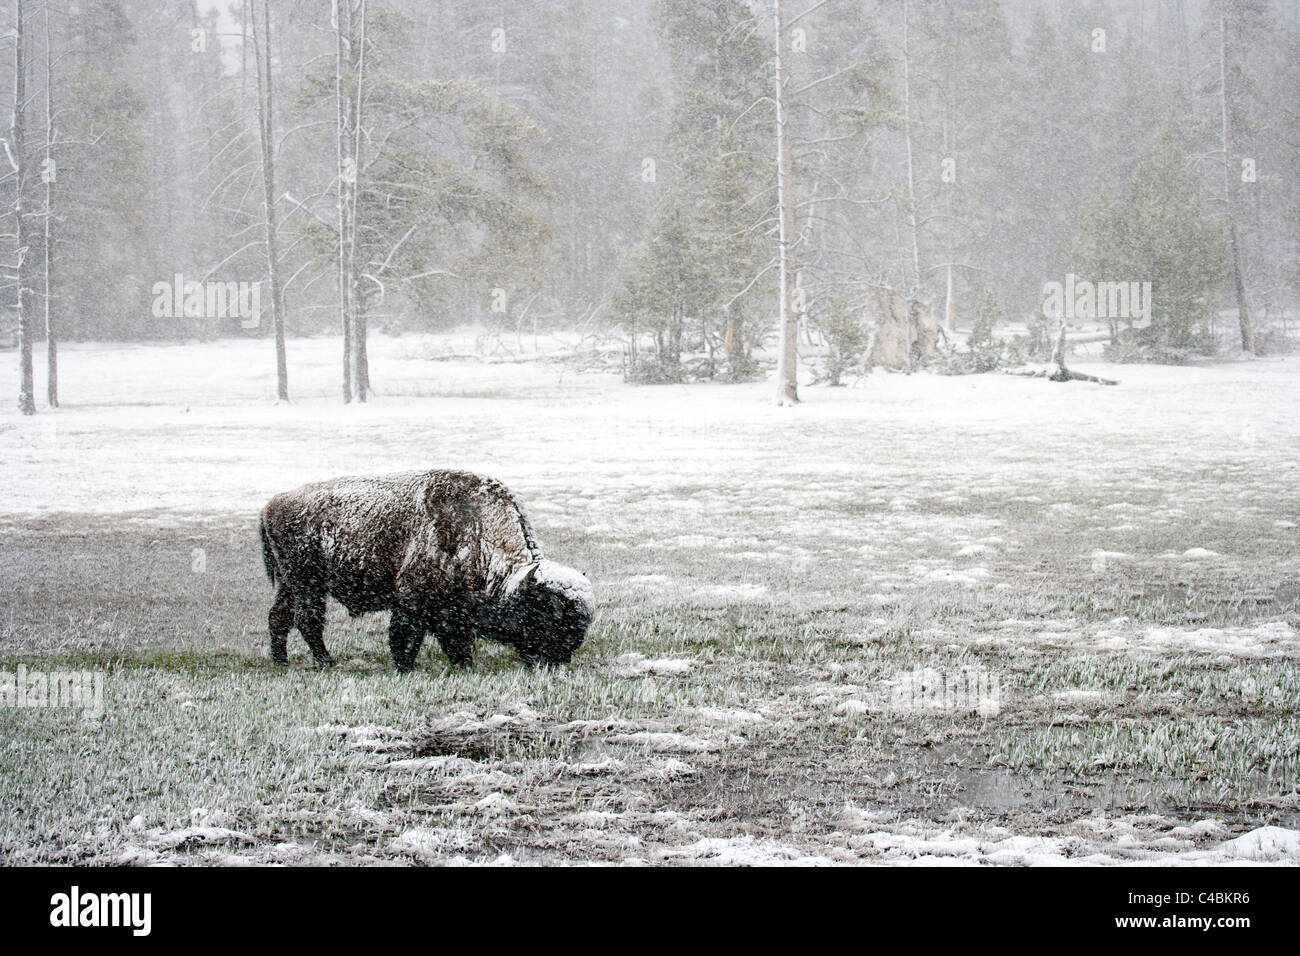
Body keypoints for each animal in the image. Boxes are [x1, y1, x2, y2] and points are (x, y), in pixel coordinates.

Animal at [258, 470, 595, 671]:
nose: (556, 661)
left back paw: (281, 662)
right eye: (548, 613)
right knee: (307, 620)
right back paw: (326, 661)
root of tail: (271, 504)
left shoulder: (452, 610)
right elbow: (407, 635)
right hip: (307, 583)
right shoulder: (413, 600)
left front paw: (463, 664)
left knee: (279, 617)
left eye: (582, 623)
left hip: (291, 583)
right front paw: (406, 667)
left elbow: (455, 638)